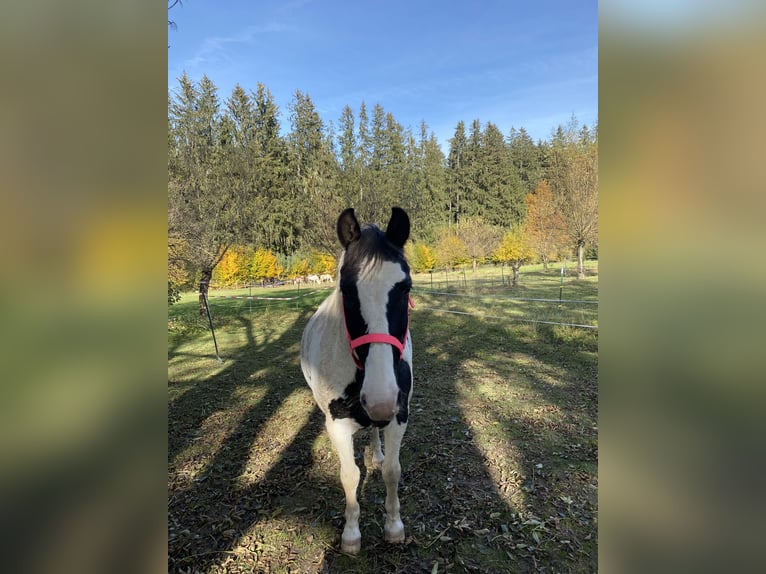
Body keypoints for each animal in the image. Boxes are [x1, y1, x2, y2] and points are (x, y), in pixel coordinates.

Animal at [300, 208, 414, 560]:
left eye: (405, 287)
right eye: (347, 290)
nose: (380, 398)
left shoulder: (398, 416)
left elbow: (392, 470)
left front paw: (394, 527)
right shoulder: (336, 424)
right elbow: (349, 475)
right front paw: (351, 534)